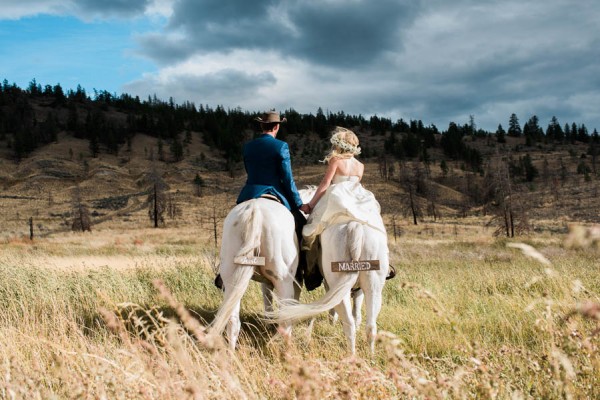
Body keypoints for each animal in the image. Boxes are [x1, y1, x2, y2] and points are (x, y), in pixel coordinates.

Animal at [272, 189, 390, 354]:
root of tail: (354, 226)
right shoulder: (358, 289)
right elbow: (357, 313)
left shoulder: (333, 286)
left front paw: (332, 322)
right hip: (373, 287)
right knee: (369, 326)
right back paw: (369, 356)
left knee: (351, 323)